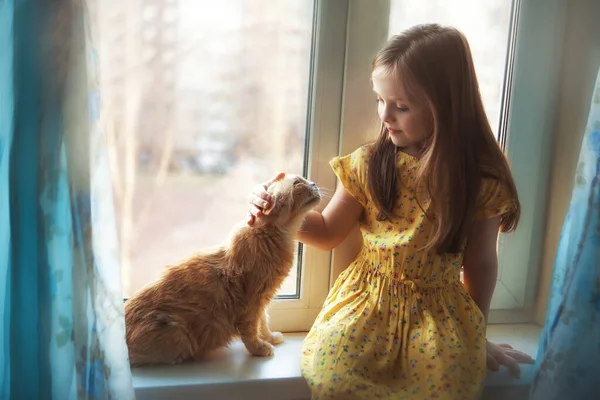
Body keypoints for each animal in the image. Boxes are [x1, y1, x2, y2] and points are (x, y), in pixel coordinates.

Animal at [124, 172, 322, 366]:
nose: (314, 183)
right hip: (178, 333)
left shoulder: (262, 300)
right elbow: (251, 331)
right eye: (298, 183)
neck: (275, 237)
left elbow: (263, 322)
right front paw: (259, 348)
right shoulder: (251, 303)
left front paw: (270, 337)